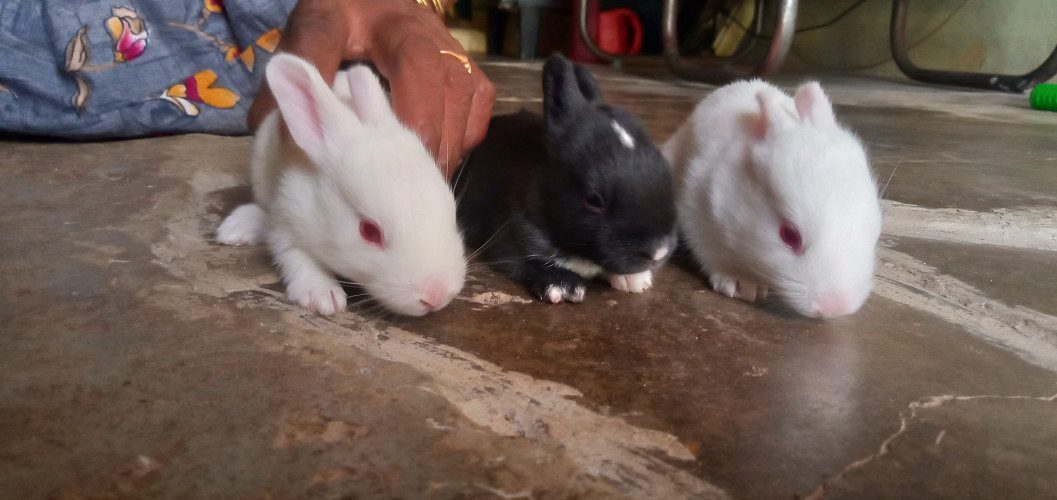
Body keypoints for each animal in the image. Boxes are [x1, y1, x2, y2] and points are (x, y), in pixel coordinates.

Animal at [216, 54, 466, 317]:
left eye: (453, 214)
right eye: (369, 232)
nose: (436, 295)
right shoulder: (288, 218)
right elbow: (296, 256)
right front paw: (322, 296)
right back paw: (237, 228)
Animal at [454, 54, 676, 304]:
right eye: (593, 199)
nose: (658, 252)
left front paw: (636, 280)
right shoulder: (509, 242)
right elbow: (528, 263)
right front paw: (564, 286)